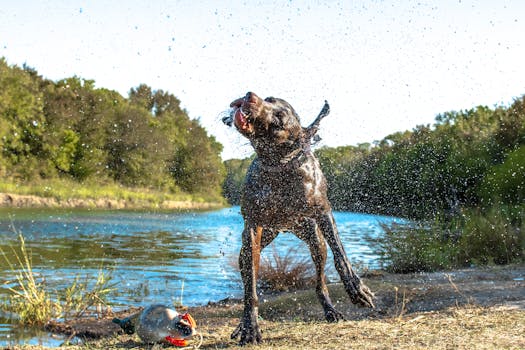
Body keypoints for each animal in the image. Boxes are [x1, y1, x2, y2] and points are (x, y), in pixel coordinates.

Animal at [221, 92, 372, 344]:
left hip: (315, 239)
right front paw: (249, 328)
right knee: (248, 275)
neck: (278, 166)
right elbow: (251, 288)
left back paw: (331, 310)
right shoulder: (253, 225)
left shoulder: (323, 211)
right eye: (269, 98)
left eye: (279, 121)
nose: (250, 96)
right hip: (253, 244)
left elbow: (341, 255)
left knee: (320, 282)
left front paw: (356, 289)